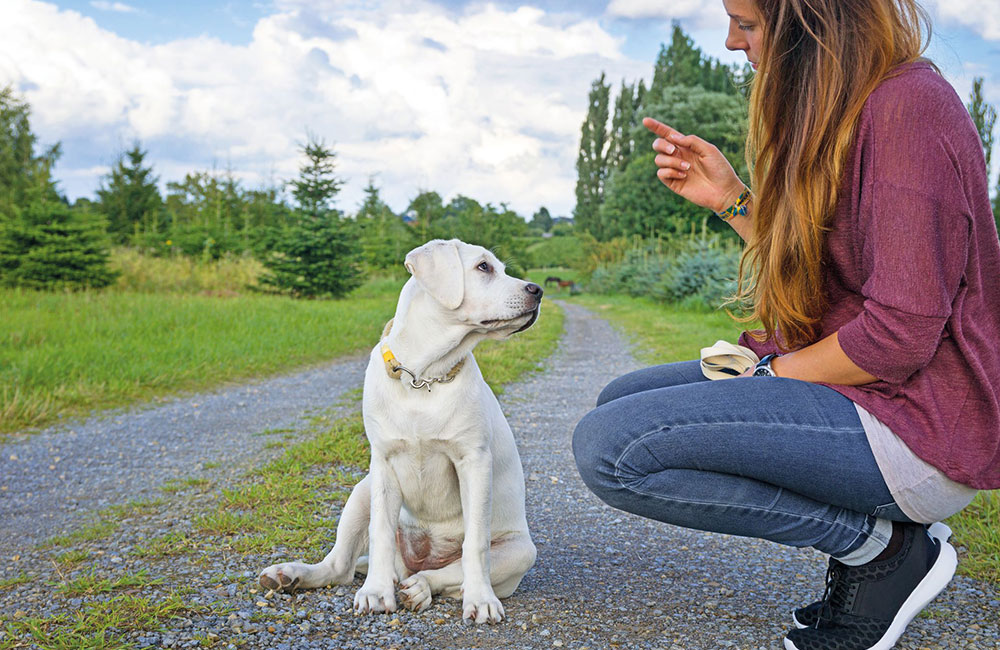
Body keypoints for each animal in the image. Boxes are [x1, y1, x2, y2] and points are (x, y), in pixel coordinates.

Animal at [258, 238, 540, 624]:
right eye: (483, 267)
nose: (537, 290)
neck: (424, 376)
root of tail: (413, 563)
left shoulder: (474, 463)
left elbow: (476, 543)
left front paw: (481, 600)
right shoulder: (384, 463)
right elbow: (379, 532)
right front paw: (377, 592)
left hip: (520, 551)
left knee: (445, 576)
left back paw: (420, 588)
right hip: (362, 491)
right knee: (341, 566)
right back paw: (293, 574)